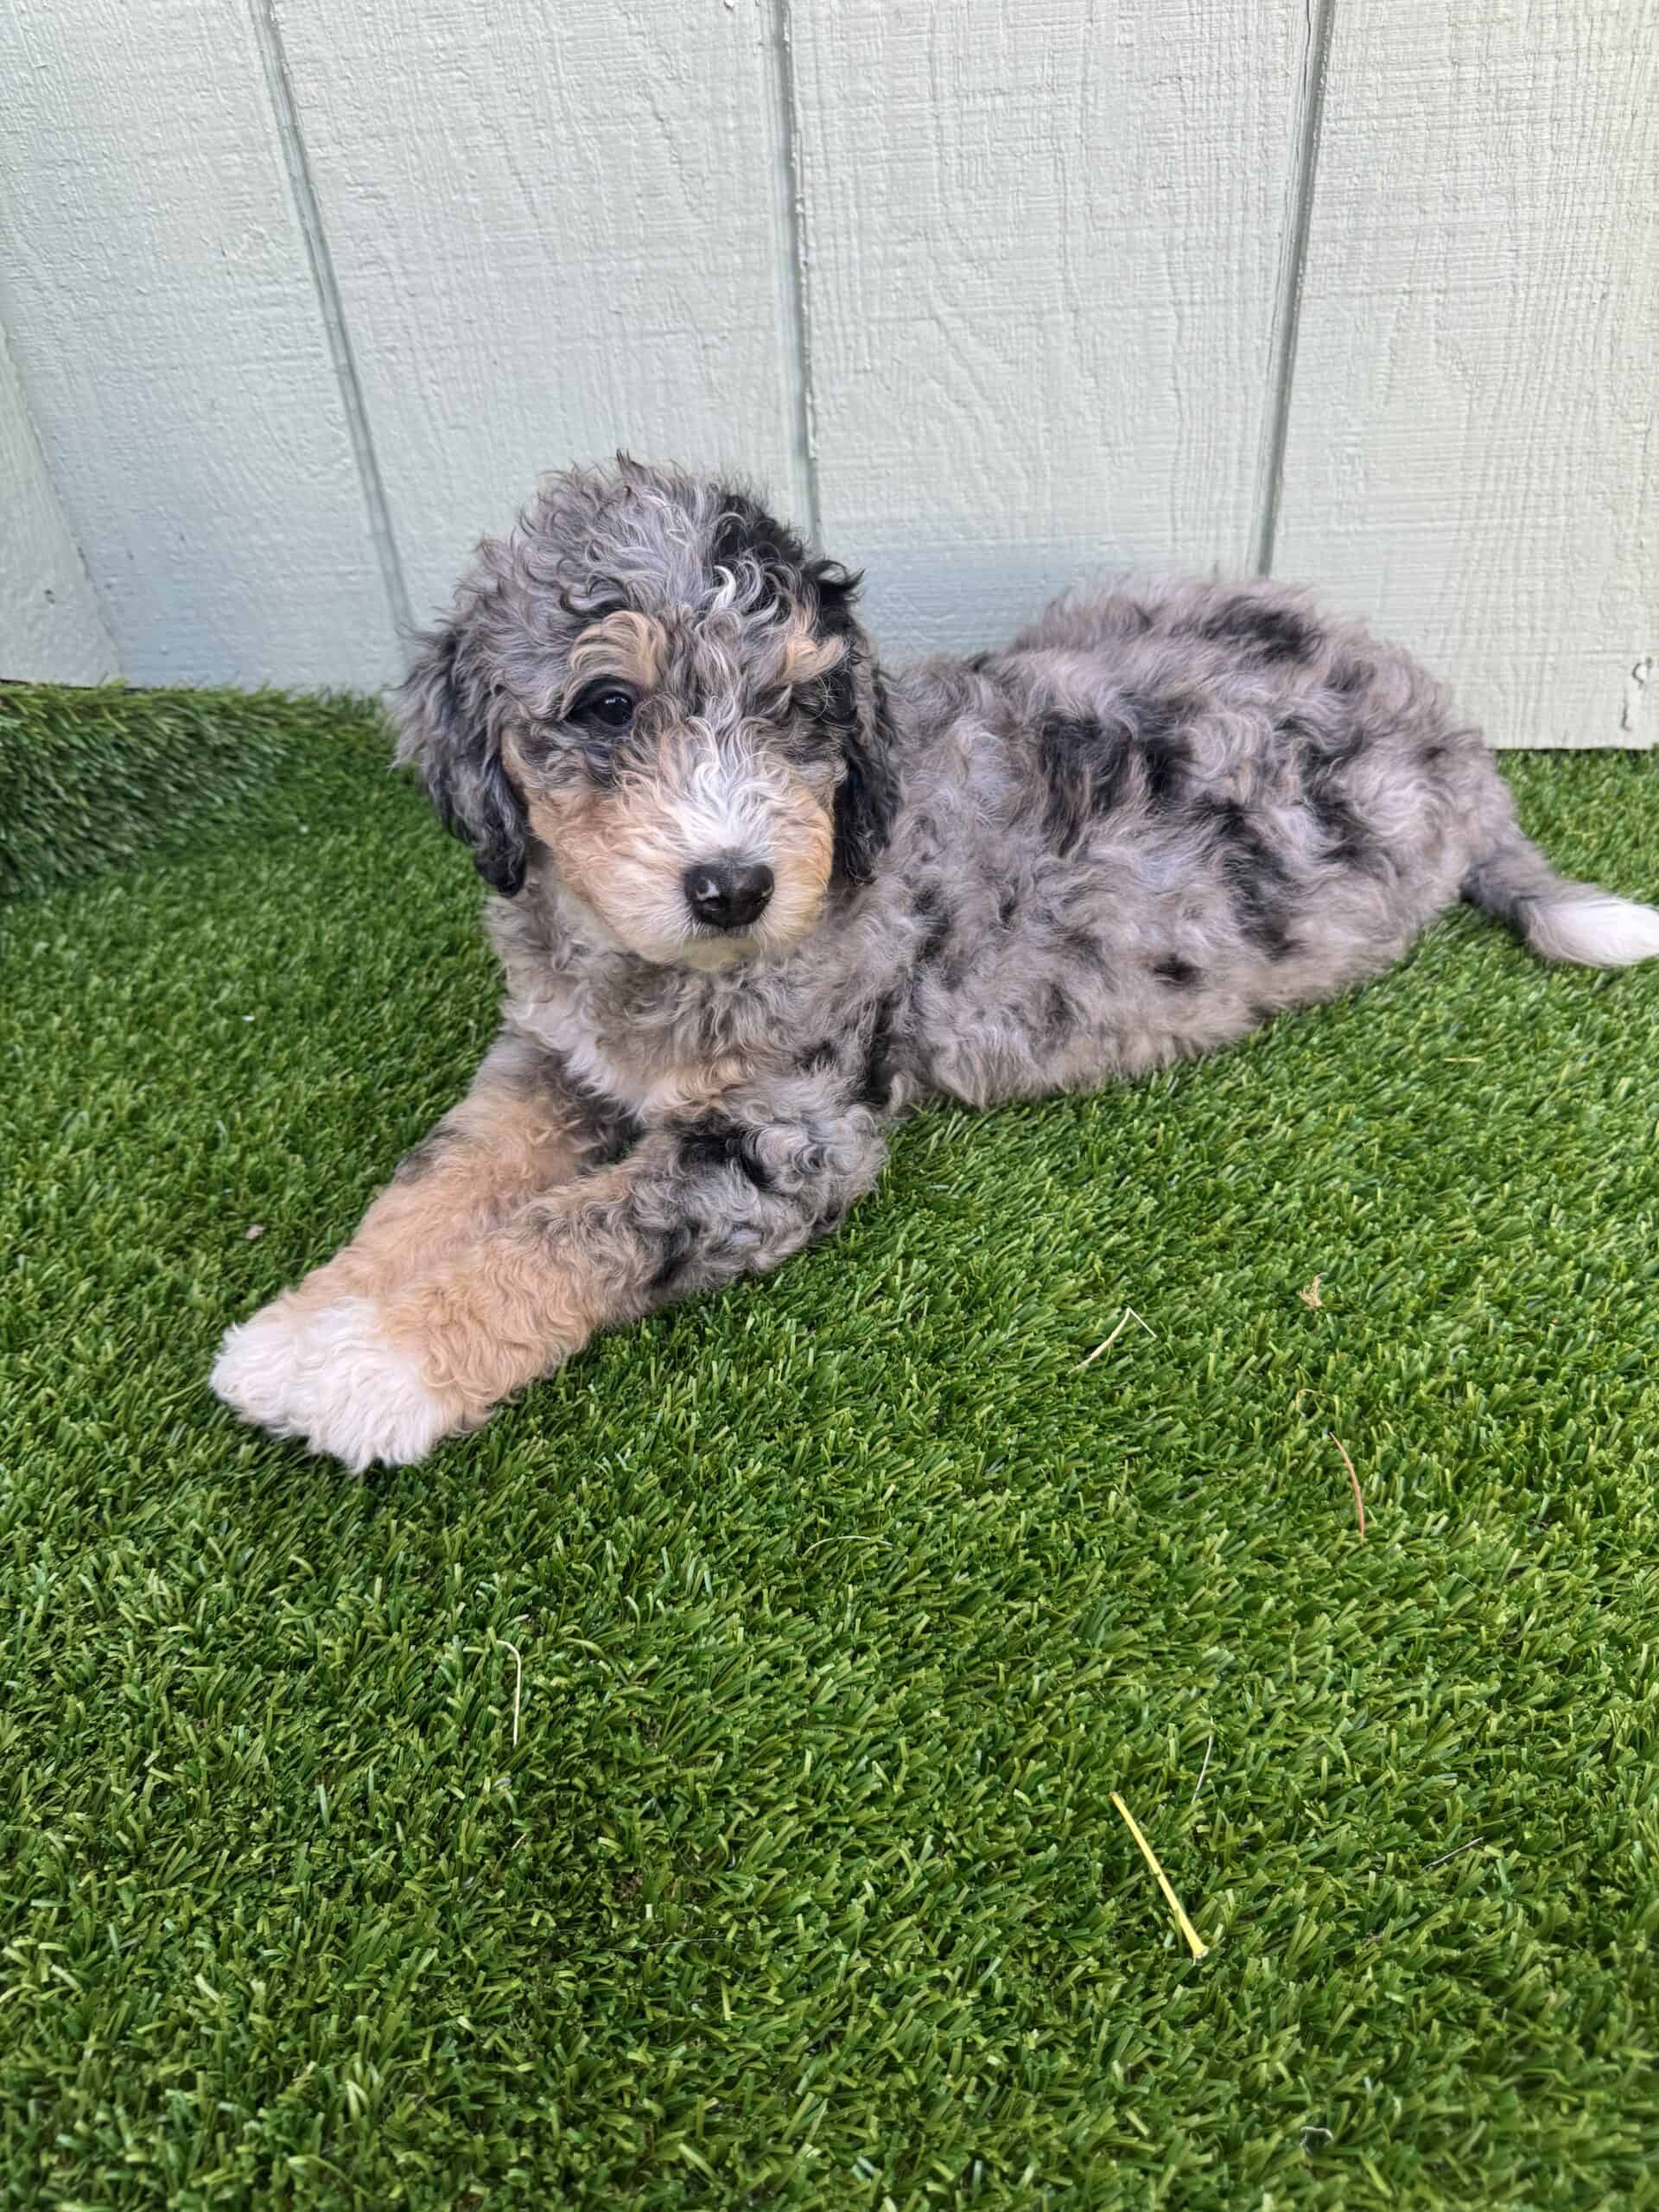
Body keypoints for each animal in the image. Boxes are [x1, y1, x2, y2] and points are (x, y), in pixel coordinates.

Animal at [211, 453, 1659, 1468]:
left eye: (798, 710)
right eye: (608, 706)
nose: (733, 887)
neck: (660, 979)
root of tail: (1457, 740)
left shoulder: (788, 1142)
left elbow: (571, 1230)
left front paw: (366, 1371)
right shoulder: (545, 1055)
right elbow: (439, 1182)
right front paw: (302, 1325)